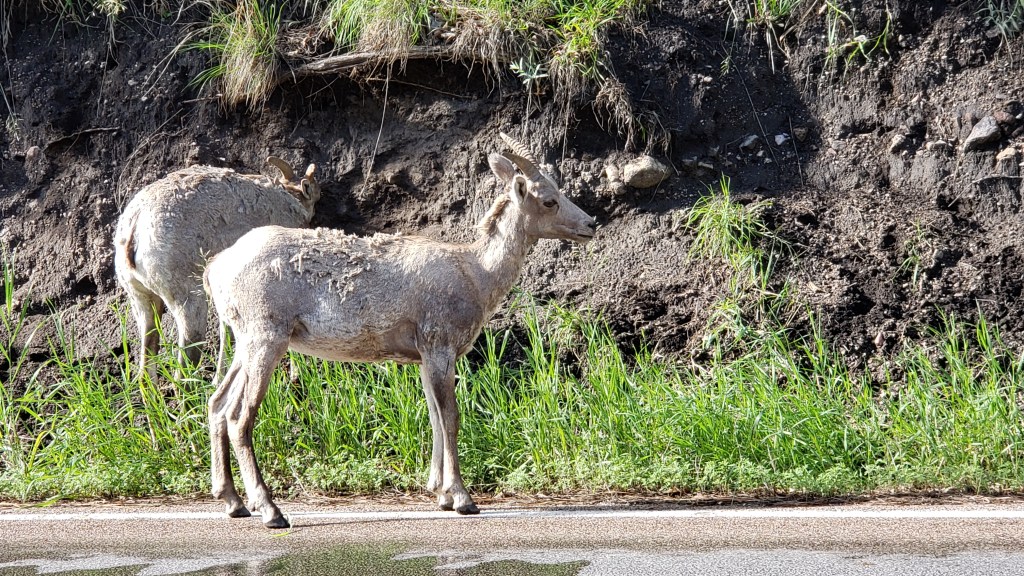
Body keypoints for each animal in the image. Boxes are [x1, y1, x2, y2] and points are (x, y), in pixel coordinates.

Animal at [203, 133, 597, 528]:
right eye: (549, 200)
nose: (591, 224)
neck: (477, 274)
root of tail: (216, 269)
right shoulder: (439, 343)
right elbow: (450, 417)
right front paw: (462, 498)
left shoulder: (423, 355)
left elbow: (434, 416)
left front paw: (440, 493)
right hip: (266, 336)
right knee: (240, 415)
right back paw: (270, 510)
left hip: (245, 341)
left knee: (218, 403)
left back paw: (233, 502)